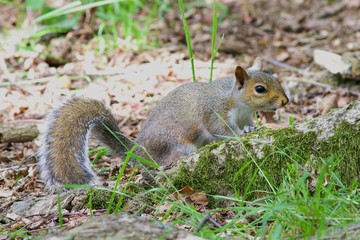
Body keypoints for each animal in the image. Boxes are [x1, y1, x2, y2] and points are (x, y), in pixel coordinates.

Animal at [37, 57, 290, 191]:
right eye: (260, 89)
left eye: (276, 79)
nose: (285, 101)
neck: (236, 101)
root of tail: (138, 152)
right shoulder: (214, 112)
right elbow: (220, 130)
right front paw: (241, 135)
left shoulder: (244, 115)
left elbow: (247, 124)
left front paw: (253, 129)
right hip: (175, 146)